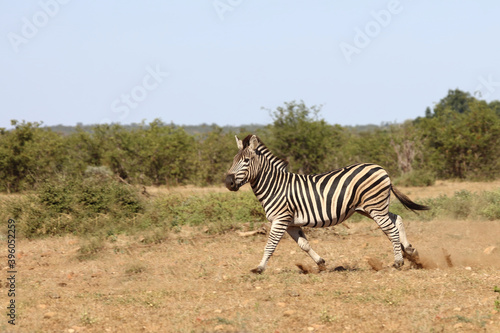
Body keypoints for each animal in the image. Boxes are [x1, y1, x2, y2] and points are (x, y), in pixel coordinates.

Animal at [225, 134, 428, 274]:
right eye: (233, 160)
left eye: (246, 161)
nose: (228, 182)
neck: (275, 186)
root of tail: (381, 169)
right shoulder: (291, 223)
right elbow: (304, 245)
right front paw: (321, 263)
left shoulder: (281, 219)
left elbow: (270, 245)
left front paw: (259, 268)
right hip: (371, 208)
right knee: (396, 219)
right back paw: (410, 251)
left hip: (374, 207)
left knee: (390, 229)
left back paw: (399, 262)